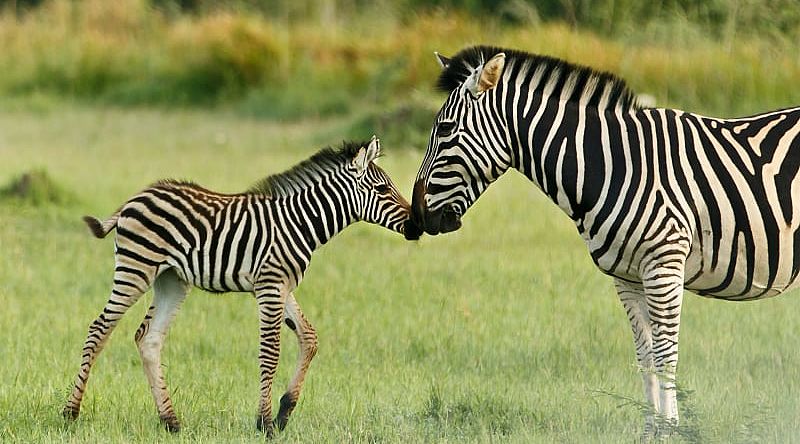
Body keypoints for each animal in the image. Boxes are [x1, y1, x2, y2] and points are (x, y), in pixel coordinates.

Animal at [62, 137, 412, 436]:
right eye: (383, 189)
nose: (415, 224)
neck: (300, 222)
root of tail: (135, 198)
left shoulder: (281, 285)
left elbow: (309, 338)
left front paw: (284, 412)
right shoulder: (270, 285)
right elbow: (270, 351)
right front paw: (265, 423)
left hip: (172, 280)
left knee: (148, 338)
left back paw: (170, 421)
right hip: (136, 267)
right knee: (99, 329)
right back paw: (70, 413)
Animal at [404, 46, 800, 436]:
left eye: (446, 130)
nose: (417, 218)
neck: (611, 164)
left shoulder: (664, 263)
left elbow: (665, 355)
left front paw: (671, 431)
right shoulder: (627, 277)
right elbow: (644, 355)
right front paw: (652, 432)